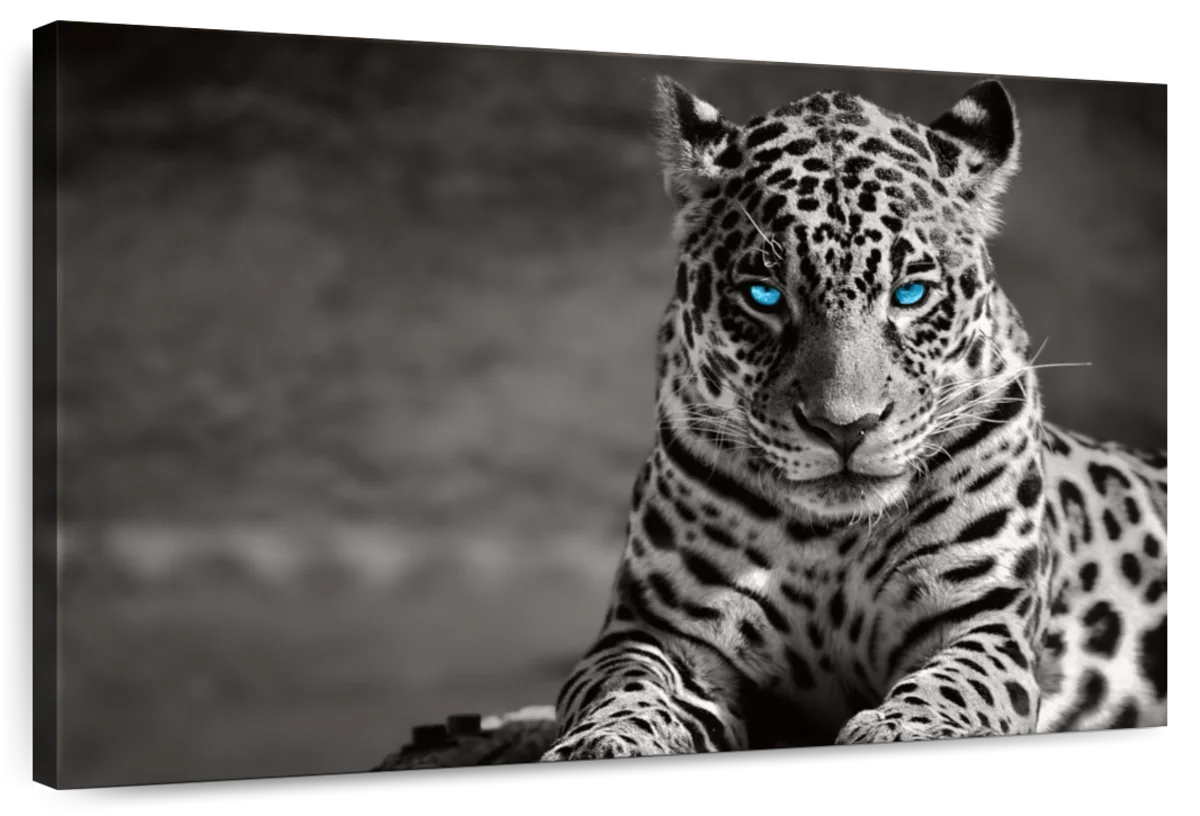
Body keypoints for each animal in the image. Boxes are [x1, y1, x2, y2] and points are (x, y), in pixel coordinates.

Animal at [540, 76, 1168, 761]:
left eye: (910, 293)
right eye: (764, 295)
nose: (846, 427)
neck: (830, 541)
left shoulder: (982, 618)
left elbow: (955, 683)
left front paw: (907, 726)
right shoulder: (657, 629)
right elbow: (625, 689)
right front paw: (603, 742)